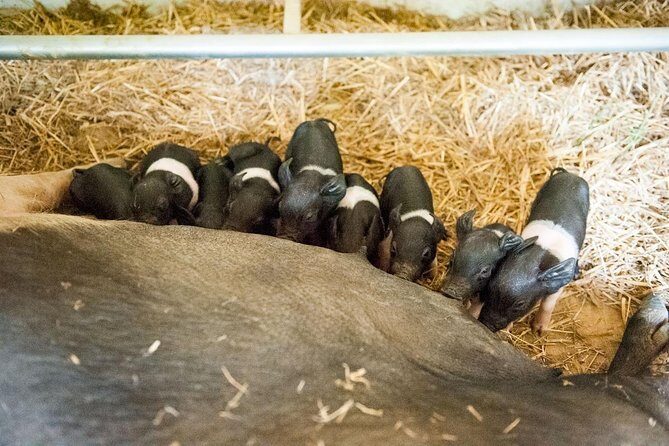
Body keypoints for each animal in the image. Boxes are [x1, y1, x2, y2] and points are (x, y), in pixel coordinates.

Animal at [479, 168, 590, 334]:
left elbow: (547, 305)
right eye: (491, 288)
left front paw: (539, 331)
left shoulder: (557, 287)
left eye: (520, 304)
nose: (486, 323)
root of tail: (571, 174)